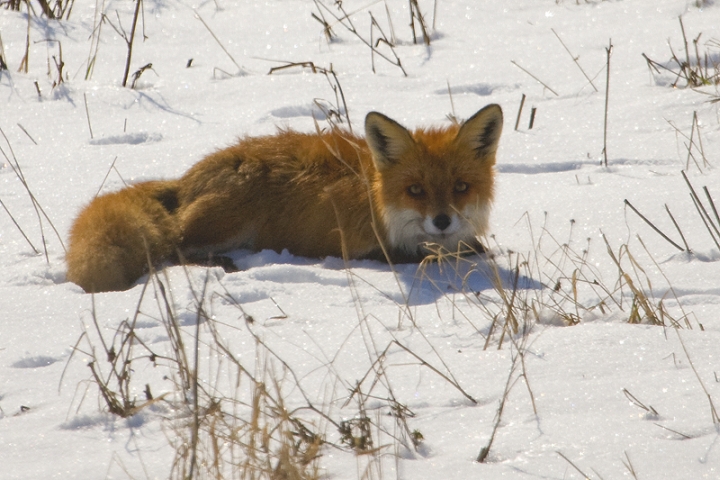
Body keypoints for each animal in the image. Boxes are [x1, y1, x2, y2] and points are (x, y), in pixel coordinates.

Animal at [67, 105, 504, 292]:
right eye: (416, 190)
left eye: (460, 187)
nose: (442, 221)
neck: (378, 200)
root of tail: (186, 178)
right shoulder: (357, 248)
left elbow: (476, 249)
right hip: (231, 216)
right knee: (173, 249)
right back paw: (221, 263)